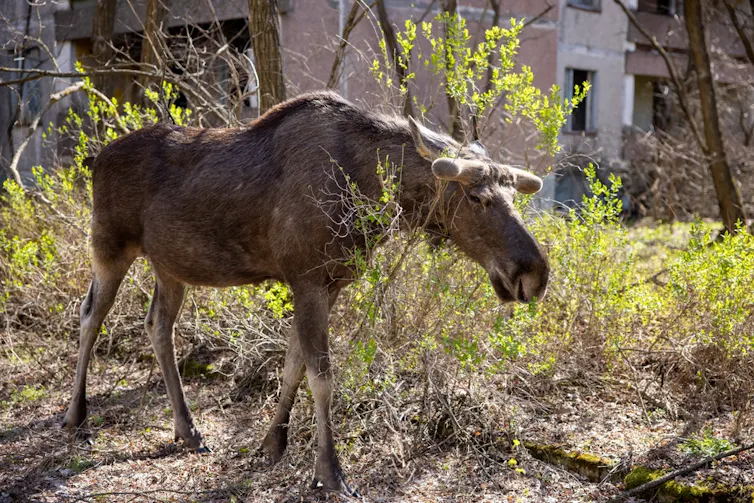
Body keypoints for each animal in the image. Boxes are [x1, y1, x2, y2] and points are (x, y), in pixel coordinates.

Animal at [62, 91, 549, 496]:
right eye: (476, 197)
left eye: (512, 195)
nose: (535, 273)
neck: (369, 191)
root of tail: (96, 159)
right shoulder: (309, 279)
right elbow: (322, 375)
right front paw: (330, 471)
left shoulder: (329, 284)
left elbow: (294, 363)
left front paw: (273, 443)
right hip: (109, 244)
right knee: (90, 315)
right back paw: (75, 415)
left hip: (170, 266)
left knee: (158, 326)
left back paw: (188, 429)